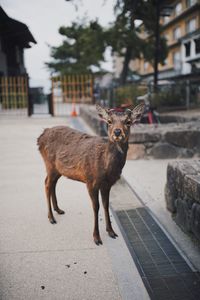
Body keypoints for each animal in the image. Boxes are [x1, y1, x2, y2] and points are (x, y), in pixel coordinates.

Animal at [37, 103, 144, 244]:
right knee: (47, 184)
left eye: (128, 122)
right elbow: (96, 207)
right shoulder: (90, 181)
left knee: (52, 184)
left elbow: (105, 205)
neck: (106, 169)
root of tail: (41, 136)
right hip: (49, 164)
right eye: (109, 121)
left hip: (57, 169)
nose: (117, 132)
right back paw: (51, 218)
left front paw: (111, 231)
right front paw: (96, 238)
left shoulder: (107, 185)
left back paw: (58, 210)